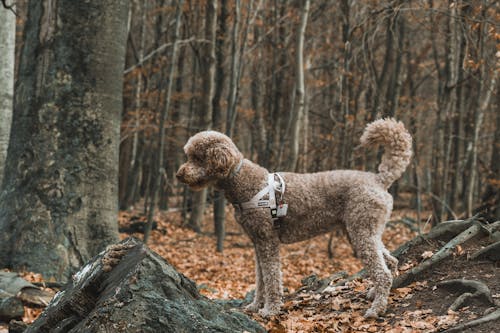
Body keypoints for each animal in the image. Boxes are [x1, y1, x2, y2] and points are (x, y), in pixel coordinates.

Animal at [178, 118, 412, 316]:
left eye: (198, 158)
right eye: (189, 156)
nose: (179, 174)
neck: (243, 181)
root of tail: (379, 179)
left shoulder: (268, 241)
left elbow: (272, 278)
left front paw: (270, 310)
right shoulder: (258, 242)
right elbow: (261, 279)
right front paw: (254, 306)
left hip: (361, 231)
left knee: (382, 271)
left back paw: (376, 309)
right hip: (363, 230)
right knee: (391, 261)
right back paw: (376, 293)